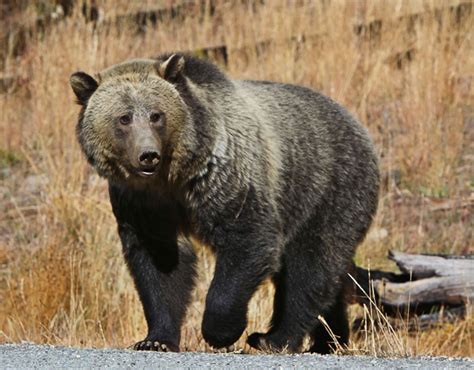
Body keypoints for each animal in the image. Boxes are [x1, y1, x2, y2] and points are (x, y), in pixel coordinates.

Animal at [70, 52, 380, 352]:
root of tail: (359, 127)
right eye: (124, 118)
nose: (147, 155)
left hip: (326, 188)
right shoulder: (142, 203)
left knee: (310, 265)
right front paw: (155, 340)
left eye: (156, 115)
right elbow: (160, 263)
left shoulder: (222, 176)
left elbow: (247, 236)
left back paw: (275, 339)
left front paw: (221, 331)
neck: (173, 176)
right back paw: (328, 340)